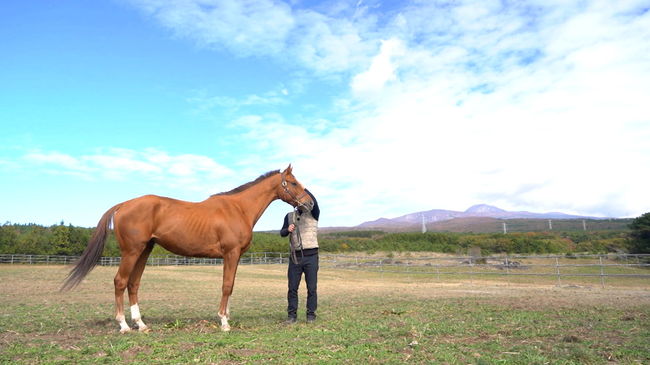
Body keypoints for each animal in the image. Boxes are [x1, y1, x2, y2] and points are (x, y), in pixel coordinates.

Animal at [61, 166, 312, 332]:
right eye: (293, 183)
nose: (309, 204)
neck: (238, 208)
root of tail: (123, 205)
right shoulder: (230, 254)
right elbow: (226, 285)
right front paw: (223, 321)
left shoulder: (236, 256)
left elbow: (231, 286)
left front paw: (227, 316)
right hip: (131, 252)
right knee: (120, 282)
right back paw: (123, 325)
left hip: (144, 251)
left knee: (133, 284)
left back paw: (141, 324)